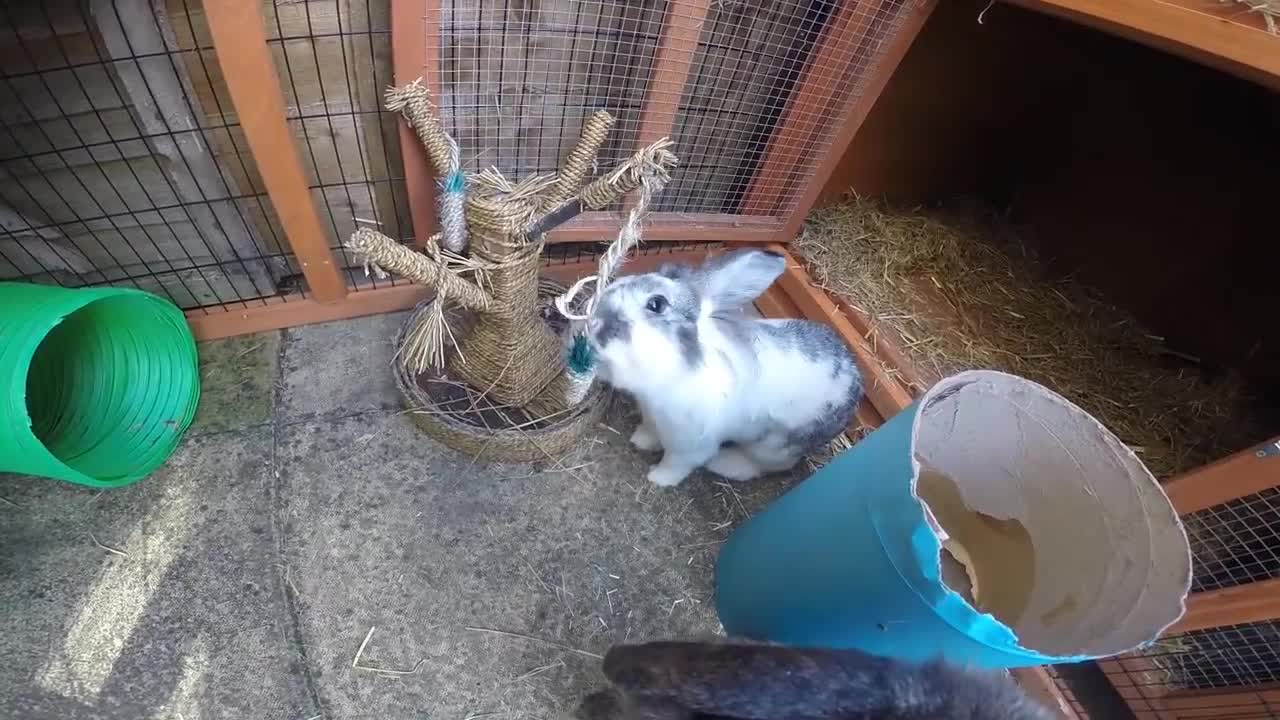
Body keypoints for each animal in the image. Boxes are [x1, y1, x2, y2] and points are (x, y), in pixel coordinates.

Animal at [586, 248, 865, 486]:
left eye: (656, 304)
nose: (594, 323)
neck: (677, 368)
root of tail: (856, 382)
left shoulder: (690, 445)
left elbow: (676, 464)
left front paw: (657, 478)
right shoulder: (653, 418)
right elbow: (650, 432)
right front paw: (640, 440)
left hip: (773, 446)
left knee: (763, 467)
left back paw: (724, 464)